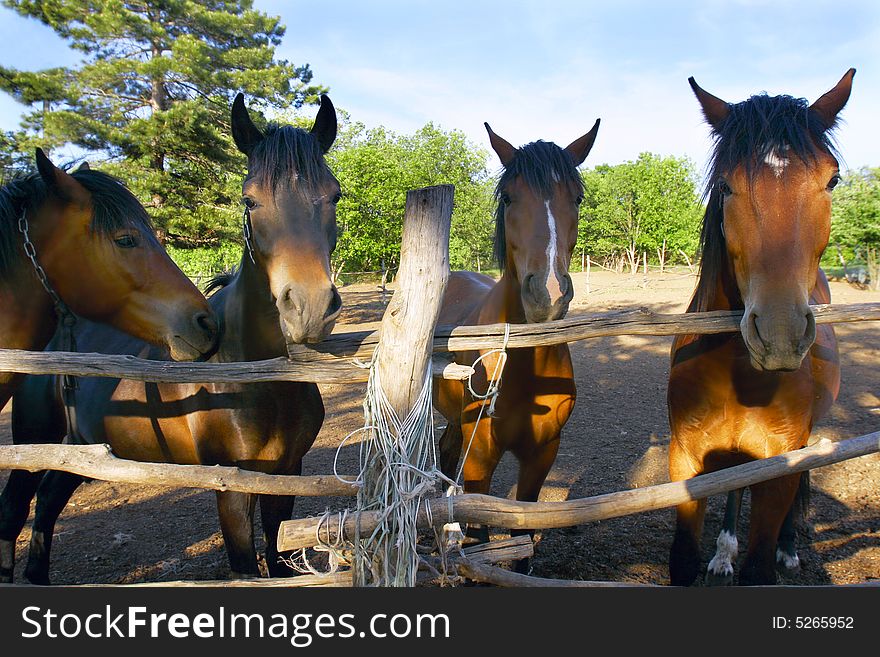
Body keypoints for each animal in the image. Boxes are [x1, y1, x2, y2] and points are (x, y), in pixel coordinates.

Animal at [0, 93, 340, 584]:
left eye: (335, 195)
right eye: (250, 200)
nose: (310, 306)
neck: (252, 373)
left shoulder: (285, 475)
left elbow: (277, 558)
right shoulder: (232, 488)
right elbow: (246, 566)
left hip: (75, 448)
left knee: (47, 503)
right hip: (35, 442)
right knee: (15, 510)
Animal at [432, 115, 600, 568]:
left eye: (577, 198)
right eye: (508, 198)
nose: (548, 293)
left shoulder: (542, 454)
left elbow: (522, 529)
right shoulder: (481, 458)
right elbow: (481, 533)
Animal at [668, 69, 852, 588]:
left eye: (832, 179)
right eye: (725, 185)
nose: (780, 335)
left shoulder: (779, 467)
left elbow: (760, 566)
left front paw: (774, 552)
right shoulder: (684, 460)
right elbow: (683, 560)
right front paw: (719, 554)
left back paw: (788, 548)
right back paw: (724, 551)